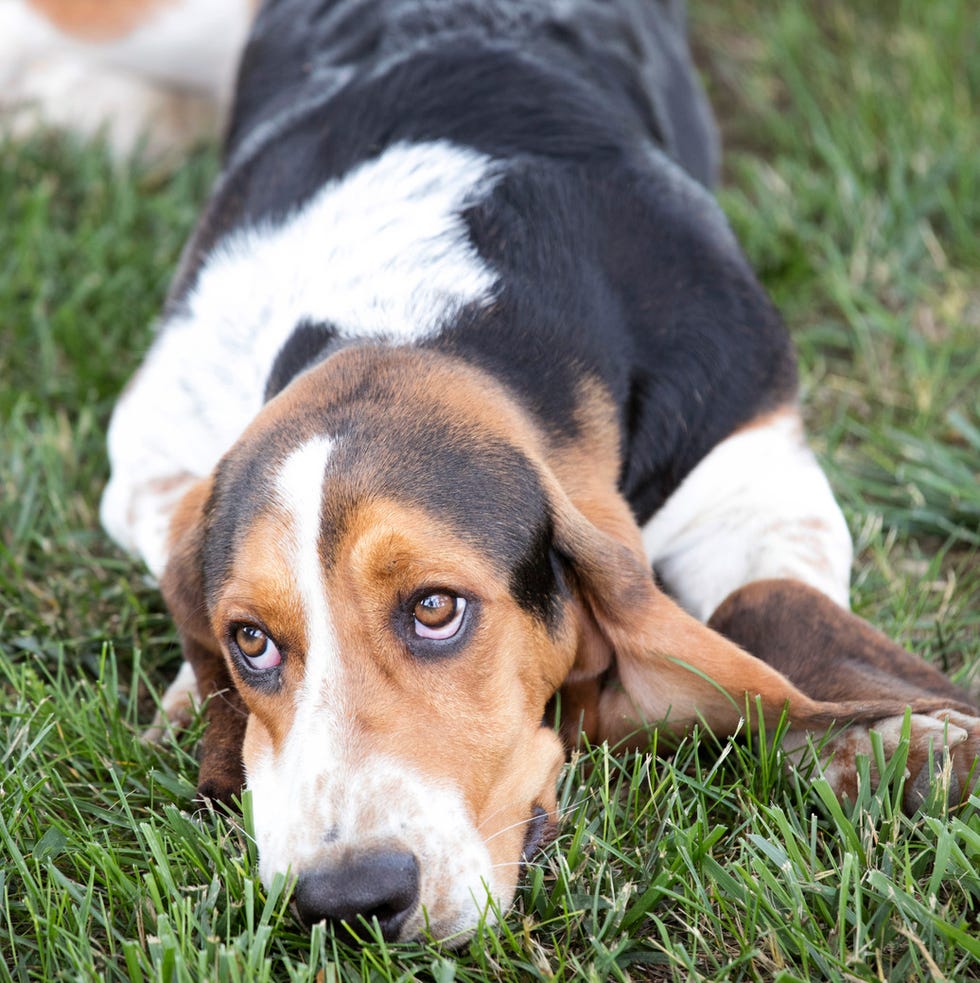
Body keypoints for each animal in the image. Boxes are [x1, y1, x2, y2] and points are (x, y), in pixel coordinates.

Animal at [9, 0, 980, 944]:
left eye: (437, 608)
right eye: (251, 640)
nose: (349, 898)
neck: (413, 306)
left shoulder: (752, 465)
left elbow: (768, 605)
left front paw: (897, 747)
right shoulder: (149, 451)